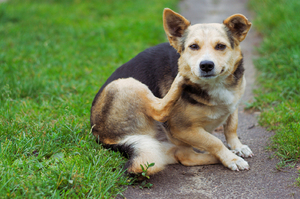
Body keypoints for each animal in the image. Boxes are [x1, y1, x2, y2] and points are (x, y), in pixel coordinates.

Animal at [91, 8, 253, 175]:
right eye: (193, 46)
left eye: (221, 46)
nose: (206, 65)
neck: (216, 84)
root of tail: (102, 137)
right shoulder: (182, 128)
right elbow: (215, 142)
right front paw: (231, 159)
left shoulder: (233, 103)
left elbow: (231, 126)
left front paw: (237, 147)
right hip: (126, 83)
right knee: (159, 111)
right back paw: (181, 78)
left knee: (186, 157)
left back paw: (214, 157)